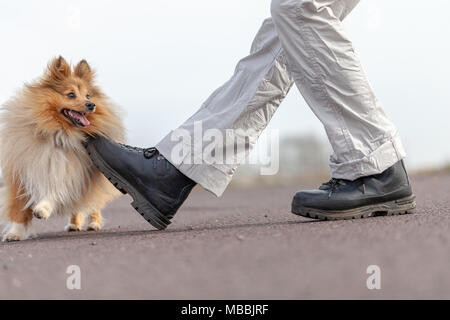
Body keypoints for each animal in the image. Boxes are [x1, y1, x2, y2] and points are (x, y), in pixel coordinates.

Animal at [0, 56, 125, 241]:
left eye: (87, 95)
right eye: (71, 94)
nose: (91, 104)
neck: (59, 134)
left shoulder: (70, 172)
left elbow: (56, 191)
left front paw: (42, 209)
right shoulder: (22, 174)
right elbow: (18, 209)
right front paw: (15, 233)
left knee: (92, 203)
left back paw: (93, 223)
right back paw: (74, 225)